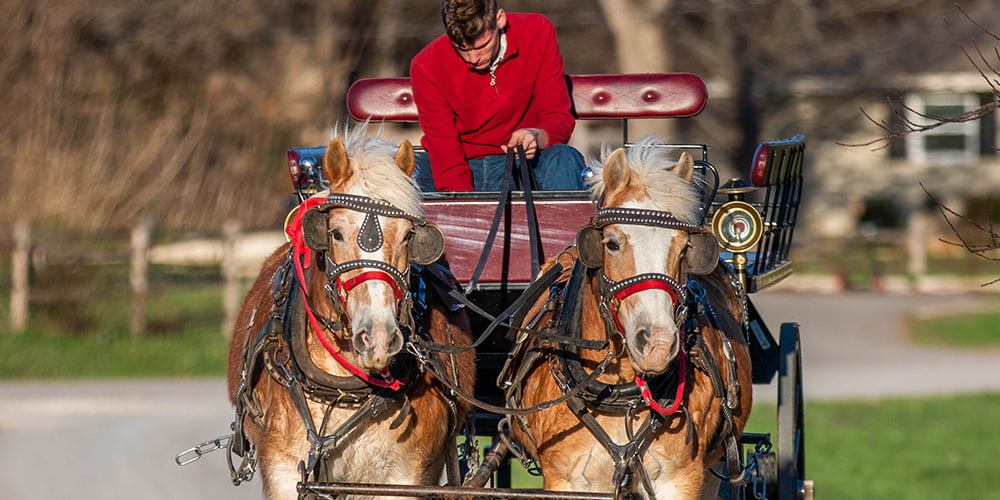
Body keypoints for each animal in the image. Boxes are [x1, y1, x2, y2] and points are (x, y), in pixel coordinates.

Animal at [227, 127, 476, 498]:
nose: (378, 339)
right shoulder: (284, 467)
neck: (344, 389)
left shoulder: (405, 476)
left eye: (407, 236)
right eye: (336, 233)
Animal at [508, 135, 752, 498]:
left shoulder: (681, 479)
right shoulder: (568, 480)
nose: (657, 344)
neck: (620, 393)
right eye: (610, 243)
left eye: (685, 248)